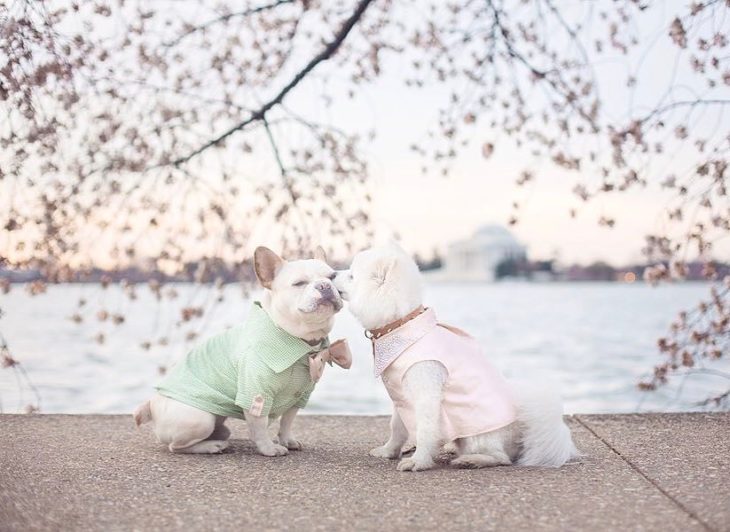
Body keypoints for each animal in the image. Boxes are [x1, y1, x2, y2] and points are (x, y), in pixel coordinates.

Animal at [332, 243, 576, 472]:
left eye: (351, 275)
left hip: (478, 435)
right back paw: (452, 447)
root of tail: (523, 437)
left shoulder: (426, 393)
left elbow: (425, 430)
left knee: (501, 458)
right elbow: (397, 427)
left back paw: (472, 460)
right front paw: (389, 451)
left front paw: (418, 461)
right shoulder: (401, 396)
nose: (332, 273)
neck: (400, 325)